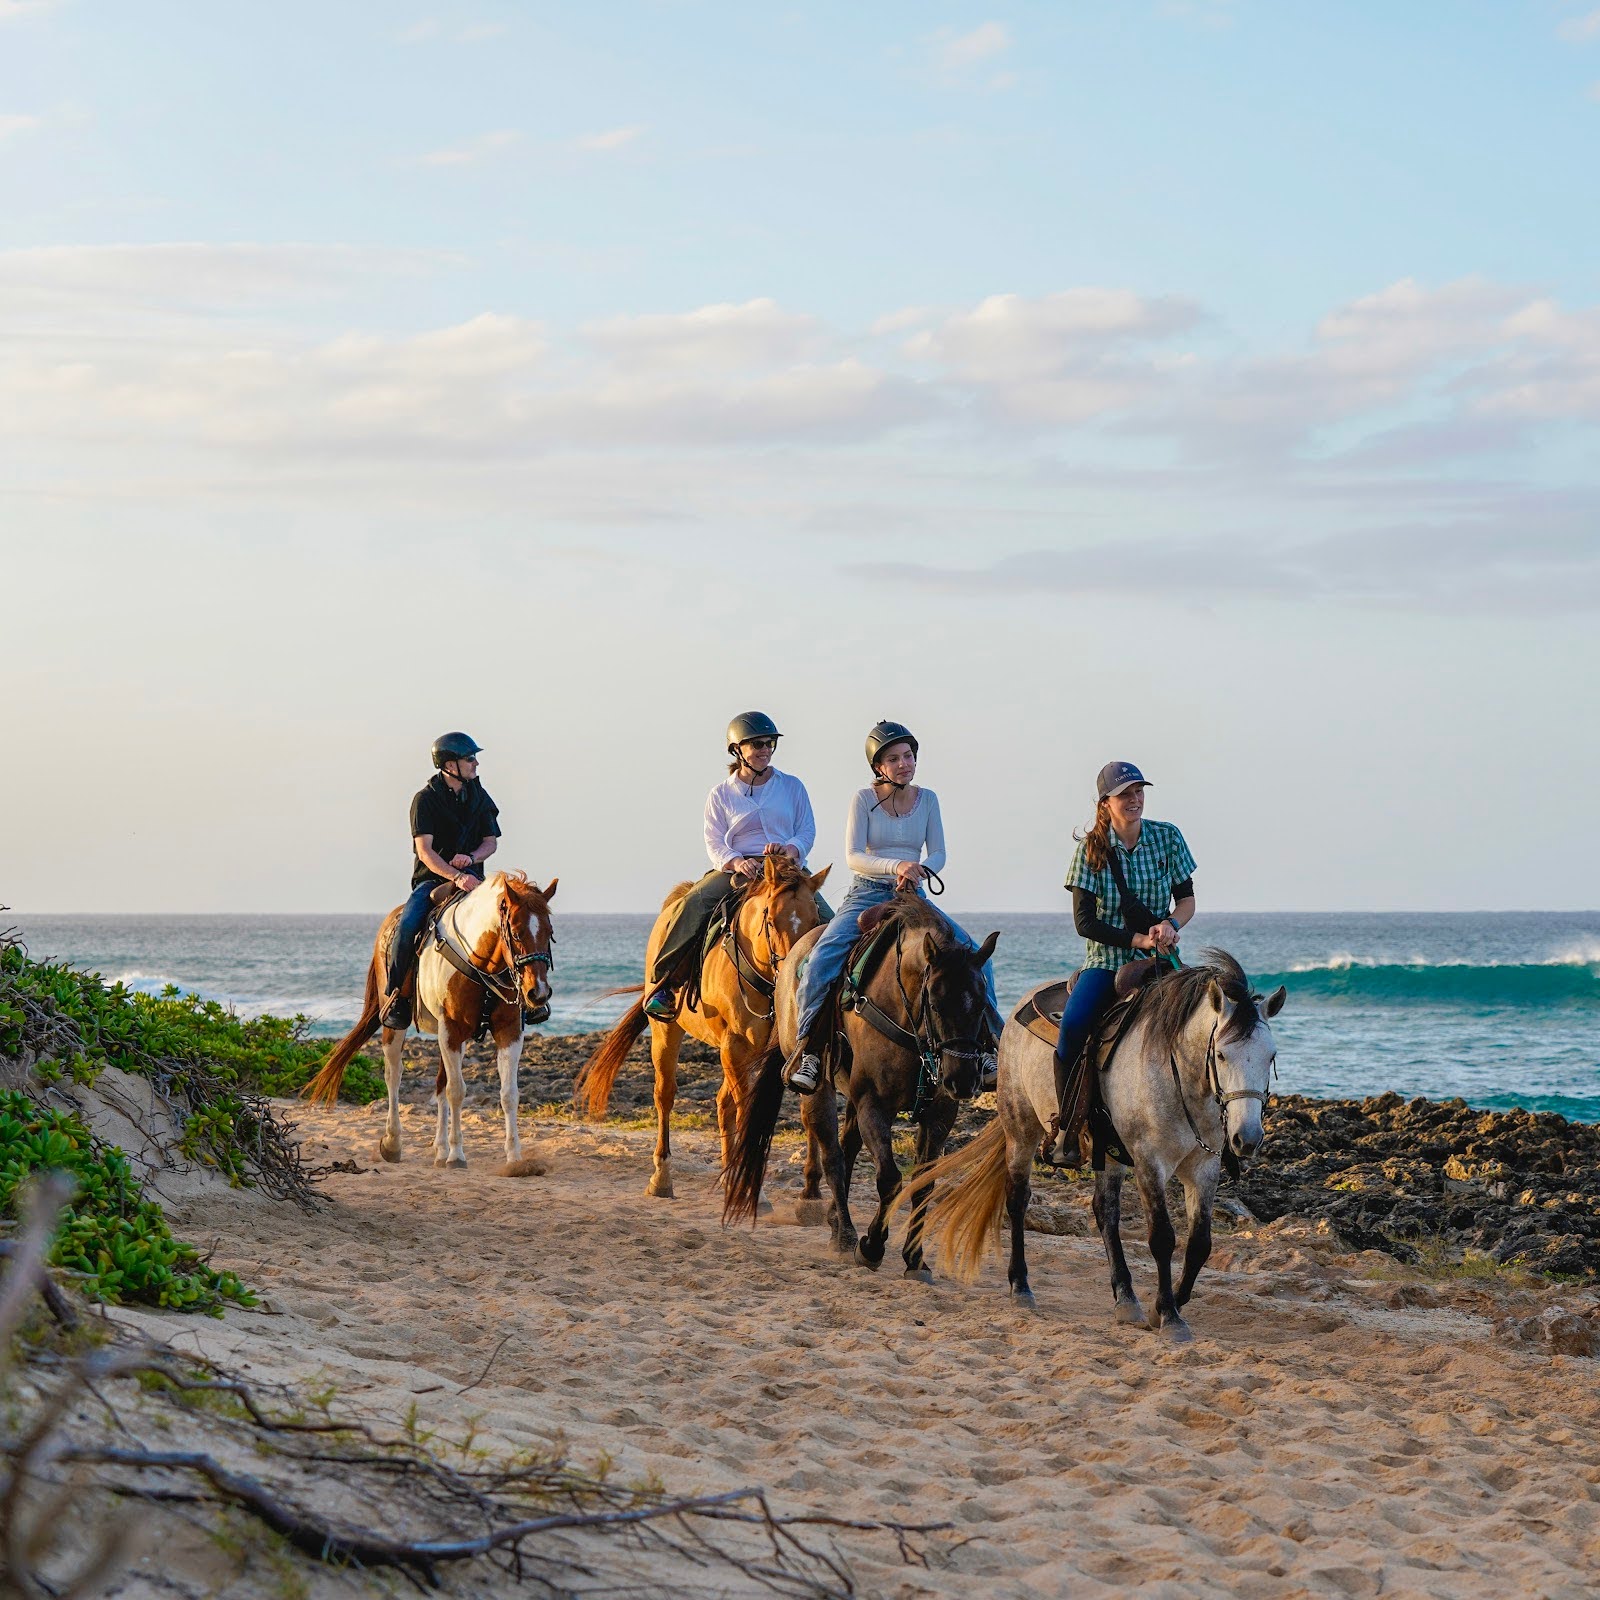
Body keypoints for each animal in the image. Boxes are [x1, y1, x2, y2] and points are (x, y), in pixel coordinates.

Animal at [304, 870, 556, 1171]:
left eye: (550, 933)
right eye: (517, 933)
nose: (537, 993)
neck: (480, 961)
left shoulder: (508, 1032)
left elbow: (508, 1094)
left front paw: (514, 1160)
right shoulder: (453, 1030)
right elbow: (456, 1091)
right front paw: (457, 1156)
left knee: (439, 1084)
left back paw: (439, 1150)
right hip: (396, 1025)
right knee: (394, 1075)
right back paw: (393, 1143)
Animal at [576, 857, 832, 1196]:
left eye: (815, 920)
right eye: (771, 919)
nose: (799, 975)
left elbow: (807, 1111)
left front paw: (811, 1189)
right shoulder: (735, 1045)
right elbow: (746, 1109)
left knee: (723, 1103)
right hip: (667, 1033)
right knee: (666, 1094)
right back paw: (662, 1177)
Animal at [726, 889, 998, 1273]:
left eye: (981, 1003)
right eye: (935, 1002)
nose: (961, 1079)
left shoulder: (940, 1113)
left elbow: (923, 1184)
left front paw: (915, 1257)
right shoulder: (874, 1103)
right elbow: (889, 1179)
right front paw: (871, 1246)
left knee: (848, 1146)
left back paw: (835, 1220)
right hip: (820, 1091)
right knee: (833, 1156)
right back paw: (844, 1235)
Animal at [908, 947, 1280, 1337]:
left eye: (1271, 1056)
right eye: (1221, 1054)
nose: (1247, 1139)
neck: (1179, 1072)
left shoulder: (1203, 1167)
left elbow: (1199, 1245)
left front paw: (1162, 1307)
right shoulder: (1149, 1162)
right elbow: (1162, 1238)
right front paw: (1169, 1315)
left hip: (1110, 1153)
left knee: (1105, 1212)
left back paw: (1126, 1298)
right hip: (1020, 1129)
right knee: (1017, 1200)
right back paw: (1021, 1287)